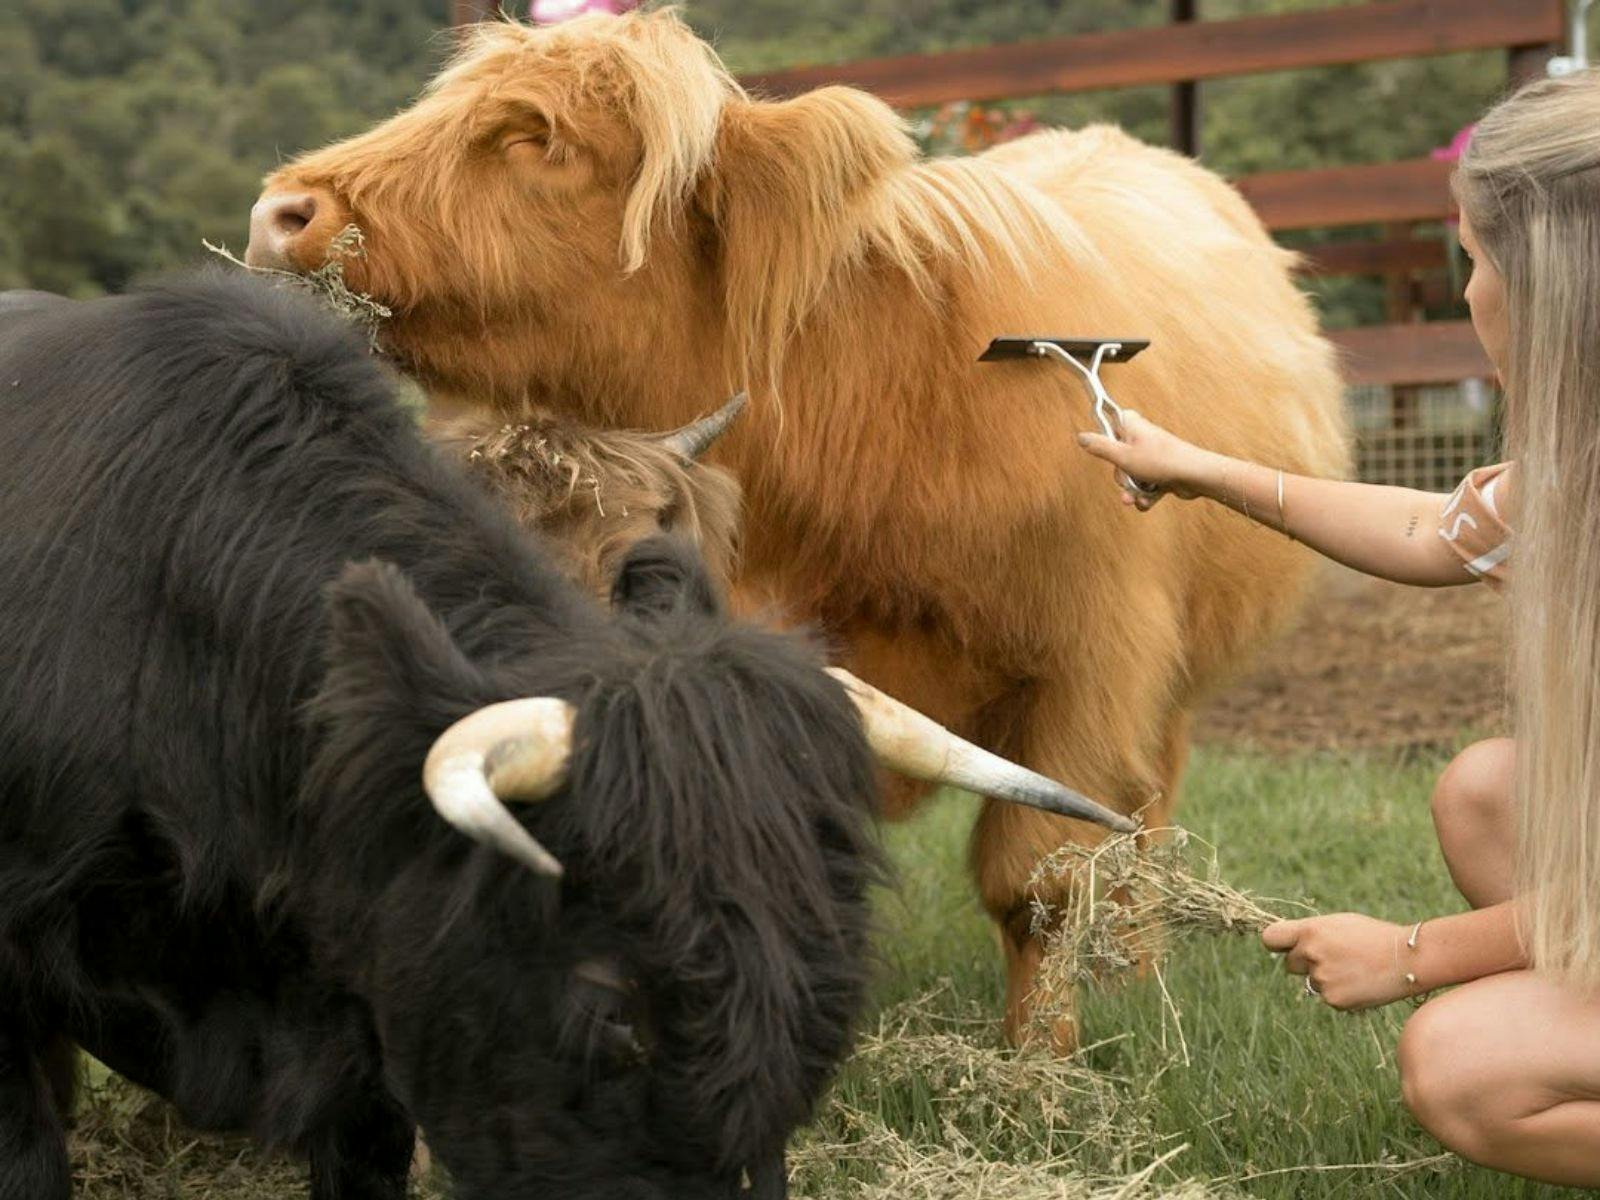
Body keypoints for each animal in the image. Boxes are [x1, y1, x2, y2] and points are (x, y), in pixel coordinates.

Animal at [245, 9, 1349, 1049]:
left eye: (535, 135)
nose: (280, 212)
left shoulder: (1090, 670)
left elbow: (1037, 882)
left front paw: (1039, 1073)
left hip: (1173, 685)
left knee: (1144, 819)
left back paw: (1135, 970)